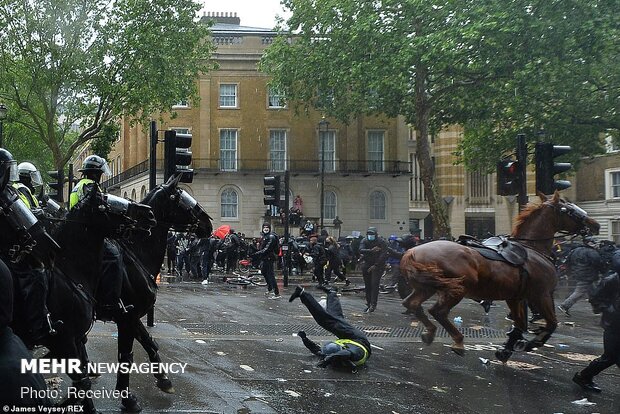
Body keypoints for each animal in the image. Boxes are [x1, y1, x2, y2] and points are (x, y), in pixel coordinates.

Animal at [103, 174, 213, 410]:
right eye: (182, 198)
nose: (208, 224)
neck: (136, 254)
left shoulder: (133, 316)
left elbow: (148, 342)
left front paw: (163, 378)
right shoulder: (126, 317)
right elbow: (126, 355)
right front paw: (127, 398)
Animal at [400, 192, 600, 360]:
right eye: (570, 210)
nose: (595, 225)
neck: (532, 249)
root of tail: (412, 252)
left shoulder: (515, 297)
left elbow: (520, 324)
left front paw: (506, 350)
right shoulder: (541, 295)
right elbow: (551, 323)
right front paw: (531, 343)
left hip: (427, 287)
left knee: (412, 303)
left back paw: (430, 332)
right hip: (457, 288)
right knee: (438, 311)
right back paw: (457, 341)